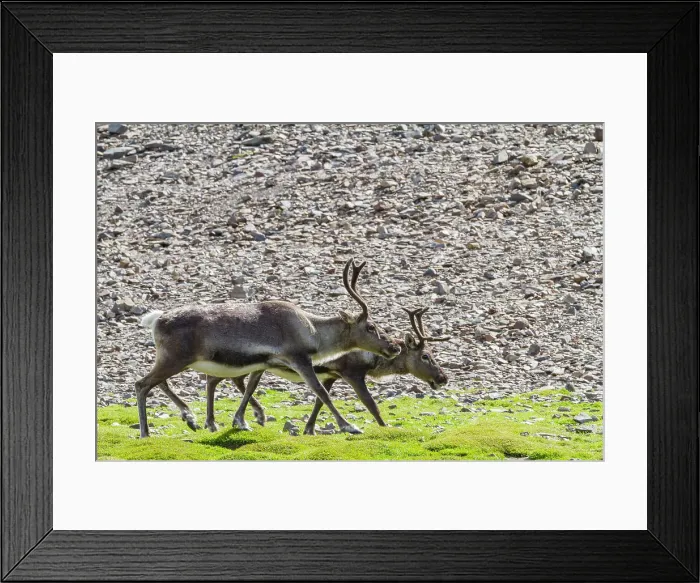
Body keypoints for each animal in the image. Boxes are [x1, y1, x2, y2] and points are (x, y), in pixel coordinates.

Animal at [135, 258, 401, 438]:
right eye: (371, 326)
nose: (394, 347)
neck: (312, 331)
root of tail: (156, 320)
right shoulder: (299, 358)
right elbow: (321, 392)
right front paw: (349, 426)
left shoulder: (264, 362)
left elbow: (249, 388)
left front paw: (242, 421)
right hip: (175, 358)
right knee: (142, 384)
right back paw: (146, 432)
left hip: (172, 360)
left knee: (159, 383)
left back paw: (189, 417)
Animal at [203, 306, 450, 436]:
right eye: (425, 356)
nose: (443, 378)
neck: (373, 361)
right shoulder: (352, 373)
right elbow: (370, 403)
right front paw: (384, 426)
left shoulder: (331, 375)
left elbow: (319, 401)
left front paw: (309, 429)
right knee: (216, 379)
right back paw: (217, 421)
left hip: (255, 366)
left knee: (228, 380)